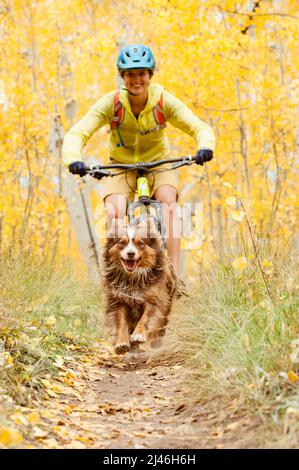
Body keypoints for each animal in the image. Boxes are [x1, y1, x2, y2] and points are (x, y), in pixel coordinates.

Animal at [103, 218, 178, 354]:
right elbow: (121, 323)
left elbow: (146, 319)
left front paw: (138, 335)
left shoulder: (154, 299)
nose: (131, 253)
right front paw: (121, 343)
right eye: (122, 243)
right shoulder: (118, 301)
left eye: (140, 243)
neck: (133, 279)